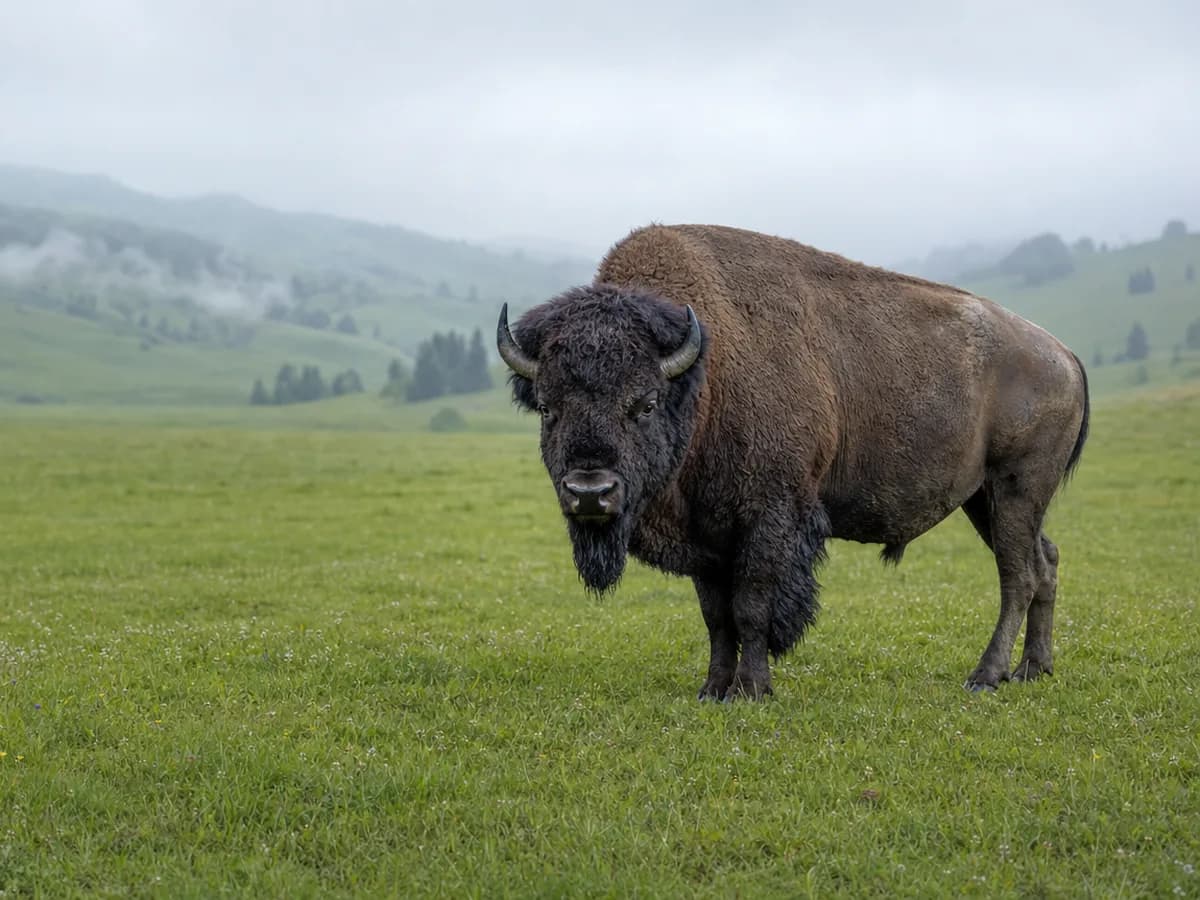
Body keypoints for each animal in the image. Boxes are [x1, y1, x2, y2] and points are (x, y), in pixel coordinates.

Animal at [497, 224, 1089, 700]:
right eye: (547, 407)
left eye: (644, 403)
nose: (590, 492)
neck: (704, 374)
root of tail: (1063, 354)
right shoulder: (706, 536)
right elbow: (716, 616)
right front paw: (713, 689)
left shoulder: (768, 517)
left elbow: (751, 606)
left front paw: (752, 690)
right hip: (985, 500)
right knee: (1046, 561)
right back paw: (1034, 669)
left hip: (1015, 488)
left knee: (1018, 575)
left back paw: (986, 676)